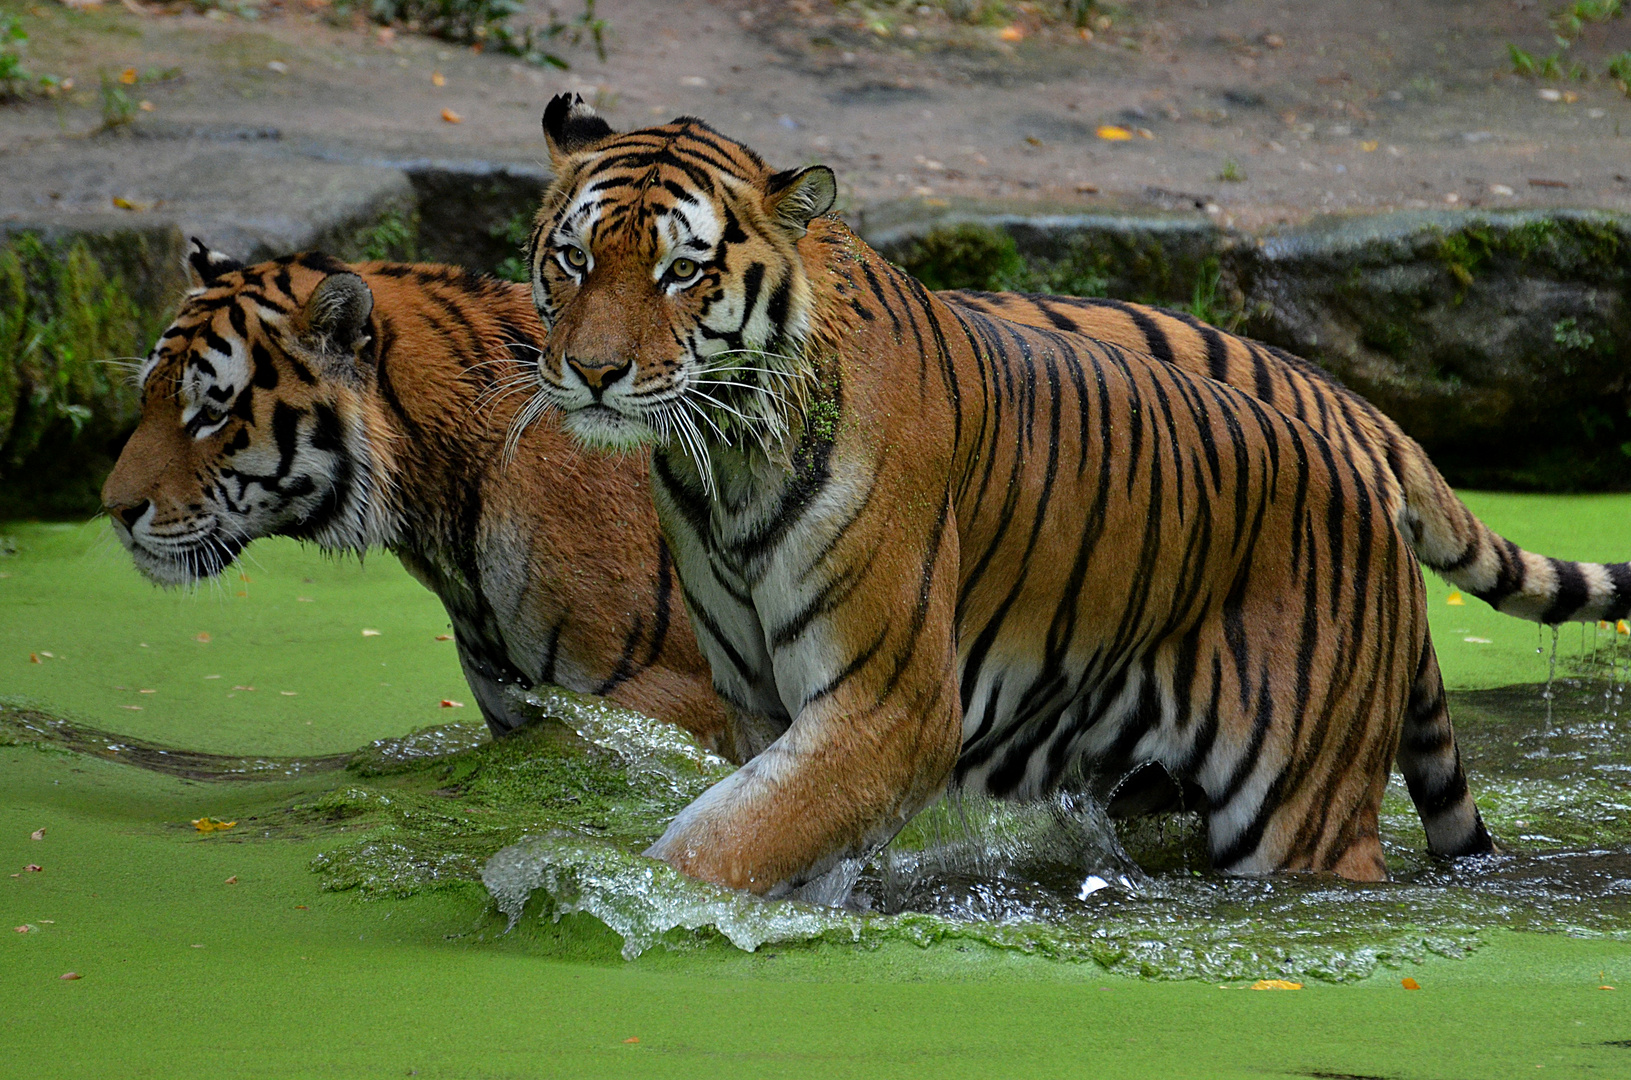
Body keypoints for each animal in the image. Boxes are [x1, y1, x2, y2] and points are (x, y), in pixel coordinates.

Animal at [521, 99, 1631, 894]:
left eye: (680, 272)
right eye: (573, 258)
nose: (592, 372)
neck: (723, 467)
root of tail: (1366, 435)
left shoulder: (889, 706)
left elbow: (721, 845)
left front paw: (607, 893)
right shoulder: (761, 704)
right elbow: (768, 831)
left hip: (1294, 809)